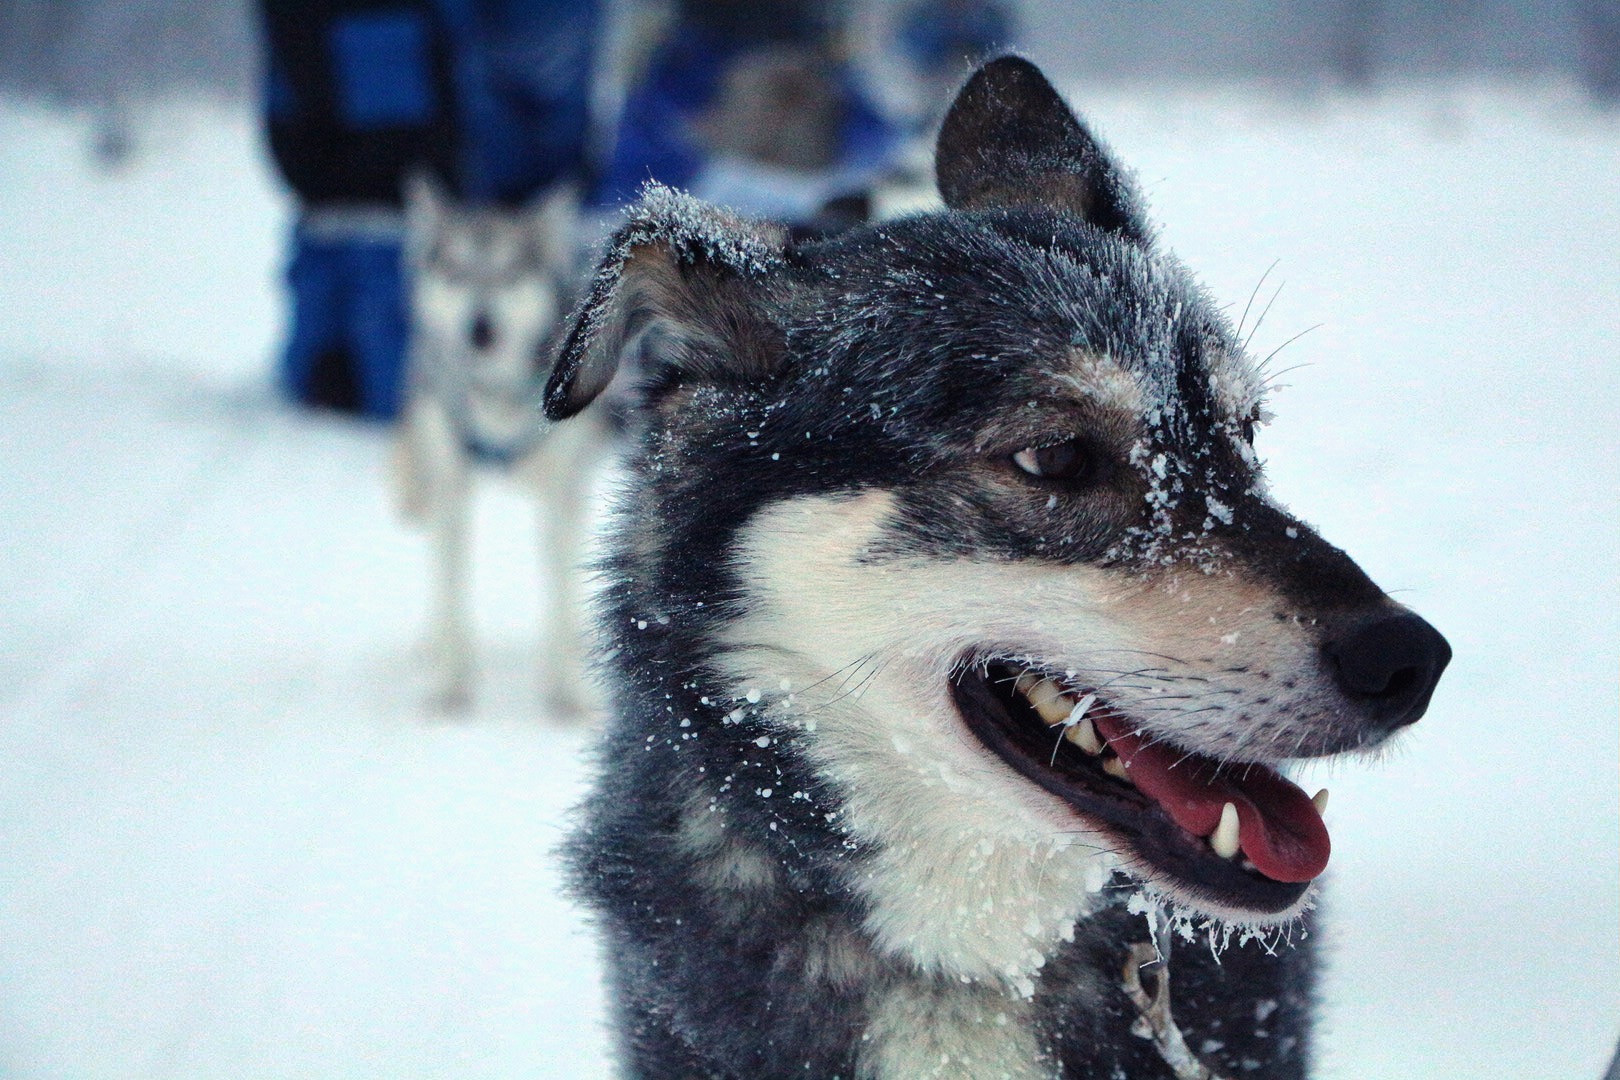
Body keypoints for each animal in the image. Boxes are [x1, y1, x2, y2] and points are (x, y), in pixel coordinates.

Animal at [395, 180, 609, 712]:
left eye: (511, 276)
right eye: (456, 272)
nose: (480, 328)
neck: (493, 396)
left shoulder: (558, 500)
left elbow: (558, 593)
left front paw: (565, 690)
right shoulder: (450, 491)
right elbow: (453, 592)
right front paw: (451, 683)